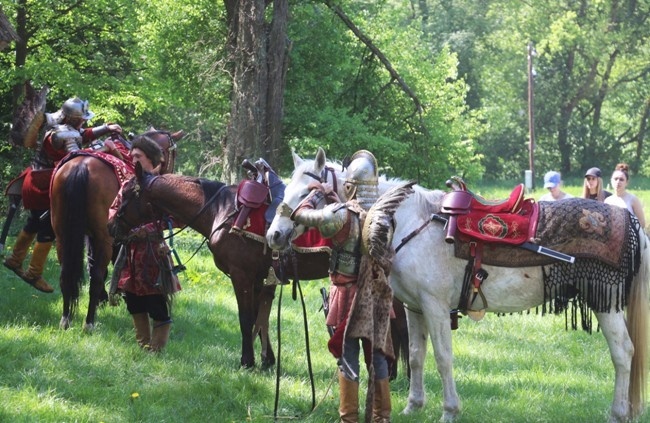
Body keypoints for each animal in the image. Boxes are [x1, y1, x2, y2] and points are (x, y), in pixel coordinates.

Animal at [49, 128, 182, 332]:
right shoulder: (114, 236)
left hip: (63, 234)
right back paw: (89, 322)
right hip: (104, 237)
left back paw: (66, 319)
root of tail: (80, 167)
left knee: (66, 273)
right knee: (96, 277)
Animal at [264, 147, 648, 422]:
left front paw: (449, 411)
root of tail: (632, 226)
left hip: (606, 303)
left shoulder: (434, 306)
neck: (406, 222)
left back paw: (618, 414)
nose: (274, 235)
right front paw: (413, 406)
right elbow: (416, 356)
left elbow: (443, 357)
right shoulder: (414, 308)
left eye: (311, 192)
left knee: (623, 353)